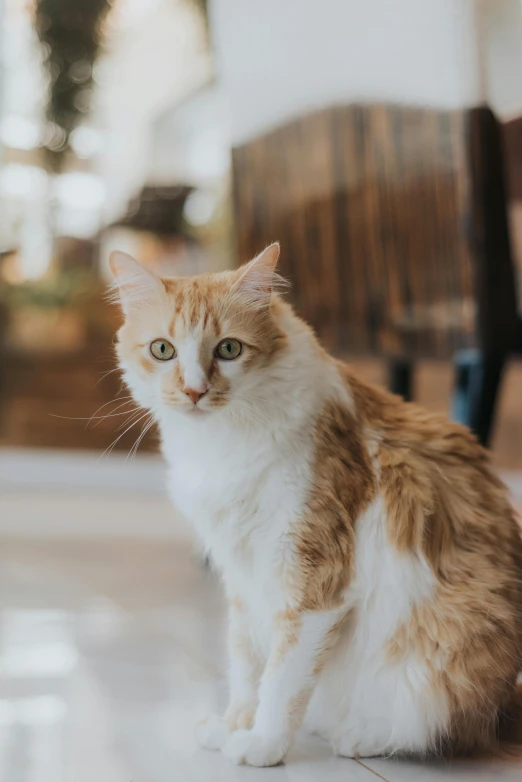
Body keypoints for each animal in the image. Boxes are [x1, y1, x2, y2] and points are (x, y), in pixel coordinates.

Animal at [109, 247, 520, 772]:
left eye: (229, 350)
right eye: (163, 350)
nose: (195, 391)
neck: (221, 443)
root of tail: (507, 705)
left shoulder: (313, 581)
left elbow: (282, 678)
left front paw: (263, 743)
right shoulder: (242, 576)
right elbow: (246, 663)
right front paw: (234, 725)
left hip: (439, 662)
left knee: (438, 729)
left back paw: (360, 736)